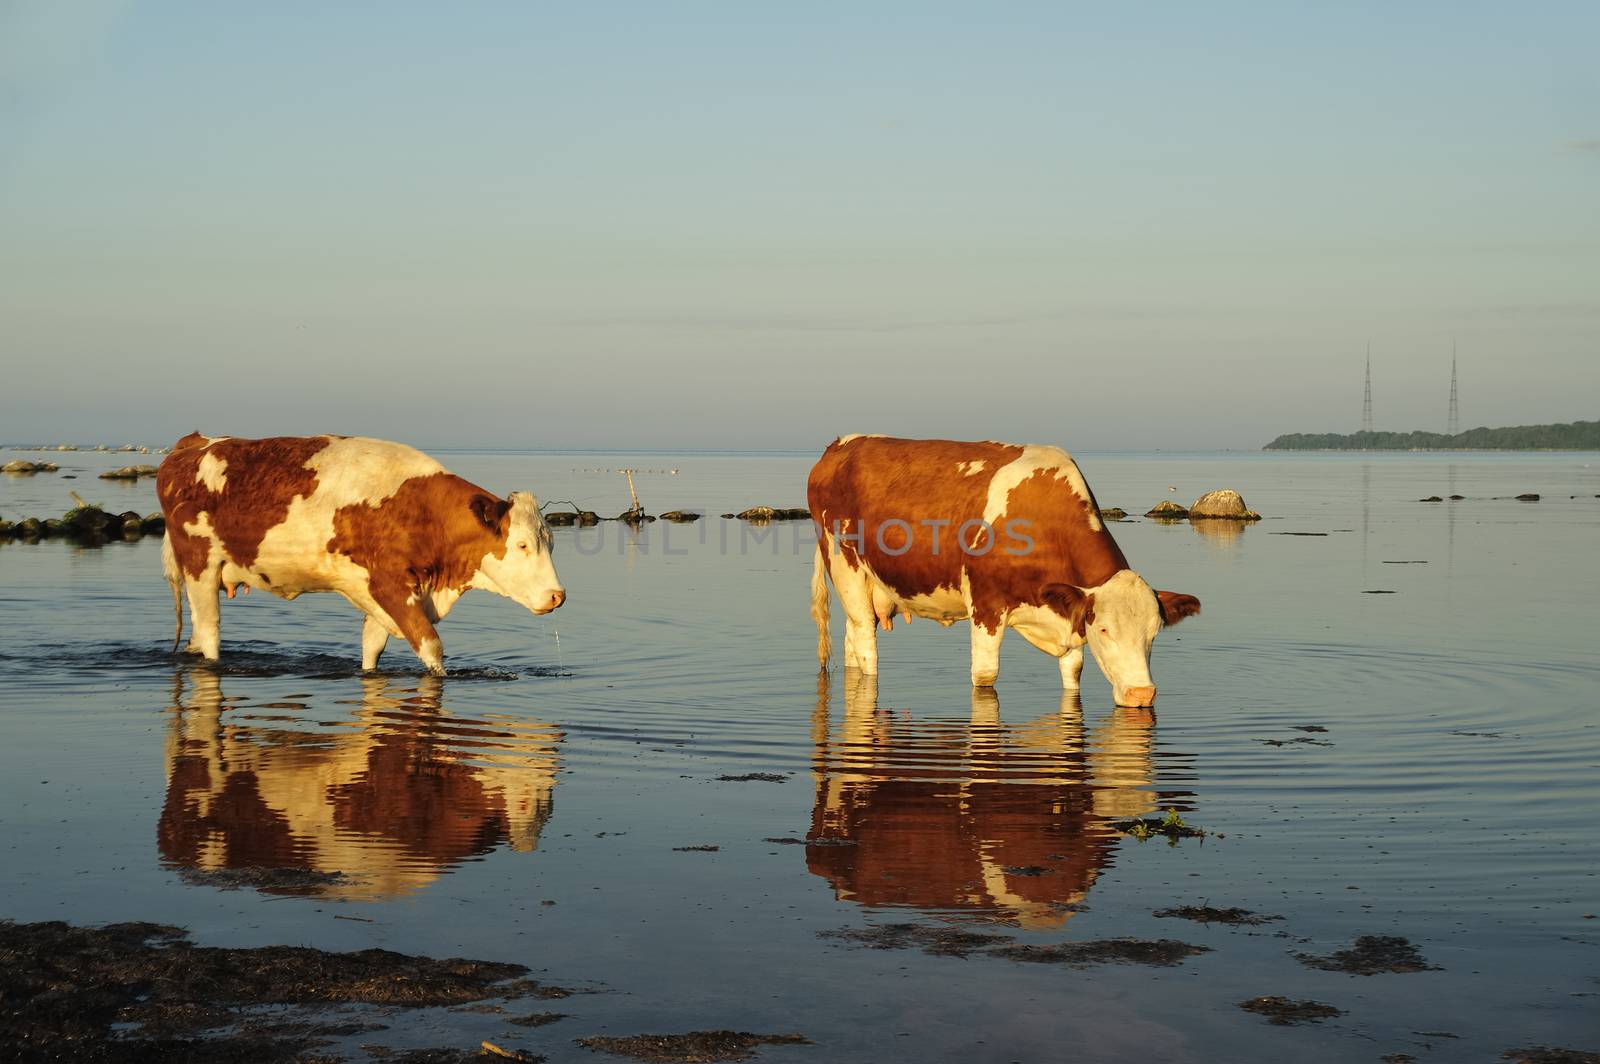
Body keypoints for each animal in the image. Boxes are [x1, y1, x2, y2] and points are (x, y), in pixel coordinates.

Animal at [156, 432, 566, 672]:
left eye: (550, 543)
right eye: (522, 544)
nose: (557, 596)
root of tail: (193, 443)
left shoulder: (379, 593)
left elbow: (372, 649)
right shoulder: (391, 585)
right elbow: (432, 650)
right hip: (200, 565)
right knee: (210, 632)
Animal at [812, 435, 1203, 704]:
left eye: (1154, 632)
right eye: (1104, 630)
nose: (1142, 694)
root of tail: (840, 445)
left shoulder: (1068, 615)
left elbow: (1073, 671)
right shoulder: (986, 605)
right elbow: (985, 676)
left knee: (852, 638)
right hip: (844, 564)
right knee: (866, 644)